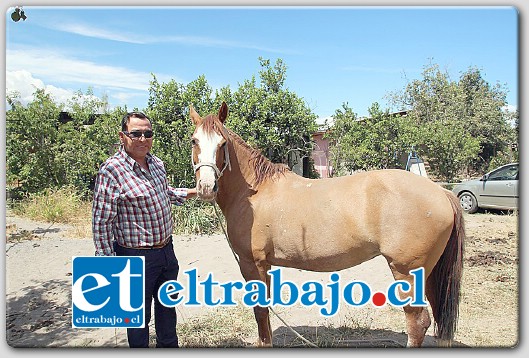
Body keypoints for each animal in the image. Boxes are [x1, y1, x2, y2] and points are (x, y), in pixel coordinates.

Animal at [188, 102, 464, 348]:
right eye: (194, 141)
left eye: (223, 143)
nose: (206, 187)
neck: (256, 192)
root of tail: (441, 193)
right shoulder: (265, 265)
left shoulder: (251, 264)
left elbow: (260, 312)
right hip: (429, 273)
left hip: (406, 271)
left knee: (418, 321)